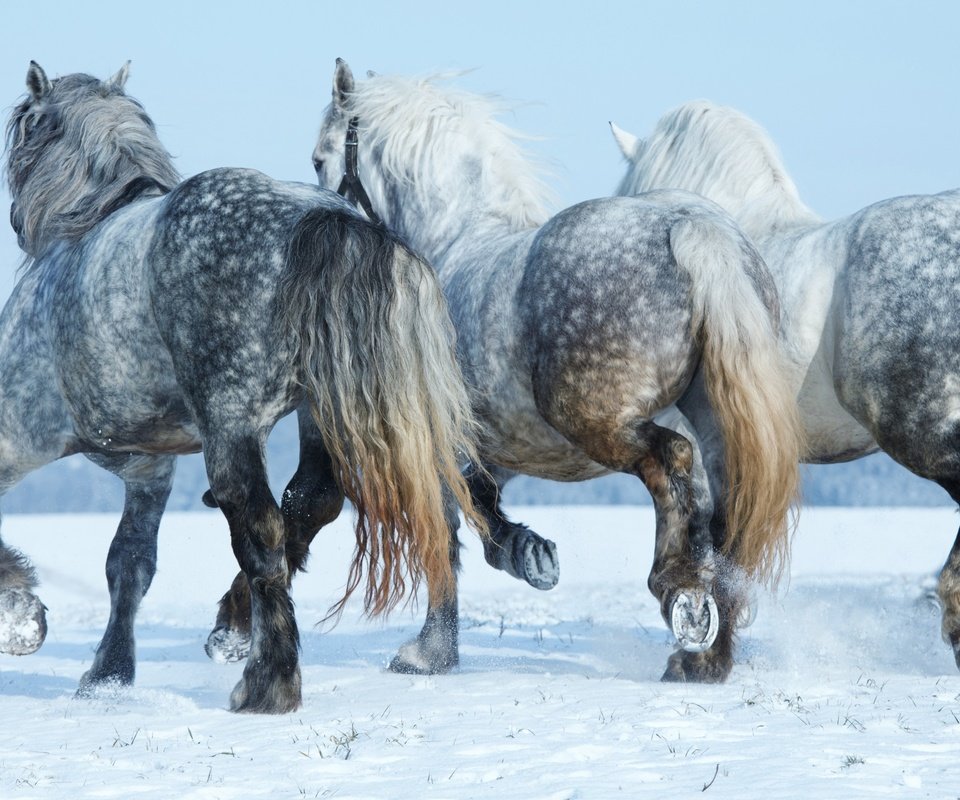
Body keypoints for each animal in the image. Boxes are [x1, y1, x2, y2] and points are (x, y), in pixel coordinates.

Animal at [0, 62, 484, 712]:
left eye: (23, 128)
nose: (16, 223)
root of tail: (325, 219)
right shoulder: (149, 469)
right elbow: (130, 563)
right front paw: (107, 674)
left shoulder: (19, 434)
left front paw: (21, 616)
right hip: (318, 415)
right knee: (311, 502)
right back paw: (239, 631)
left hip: (231, 426)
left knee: (259, 527)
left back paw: (266, 679)